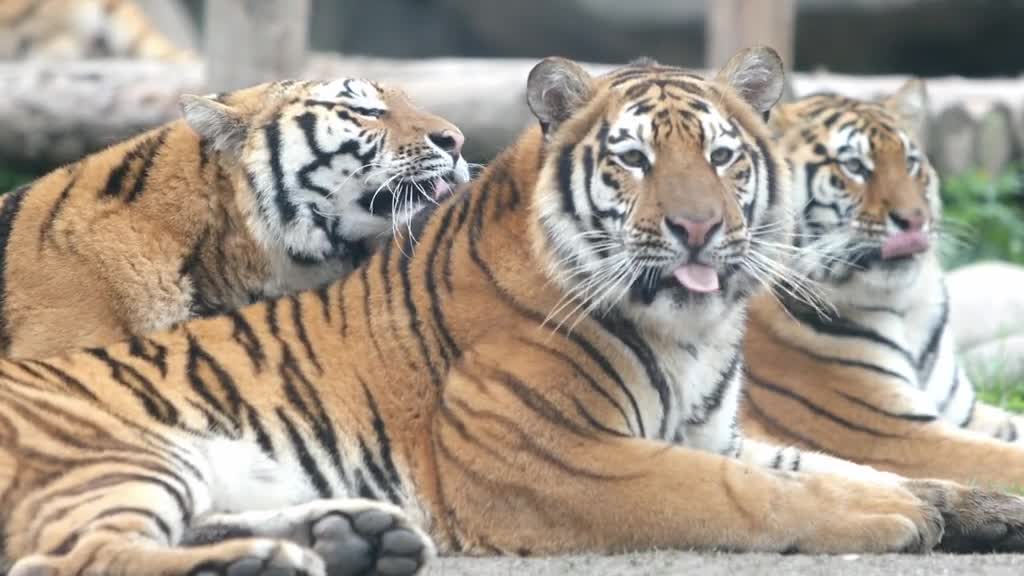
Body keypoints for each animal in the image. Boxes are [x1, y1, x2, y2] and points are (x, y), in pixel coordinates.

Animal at [741, 78, 1024, 485]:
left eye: (910, 163)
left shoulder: (967, 413)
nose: (915, 220)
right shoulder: (893, 432)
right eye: (854, 166)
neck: (907, 309)